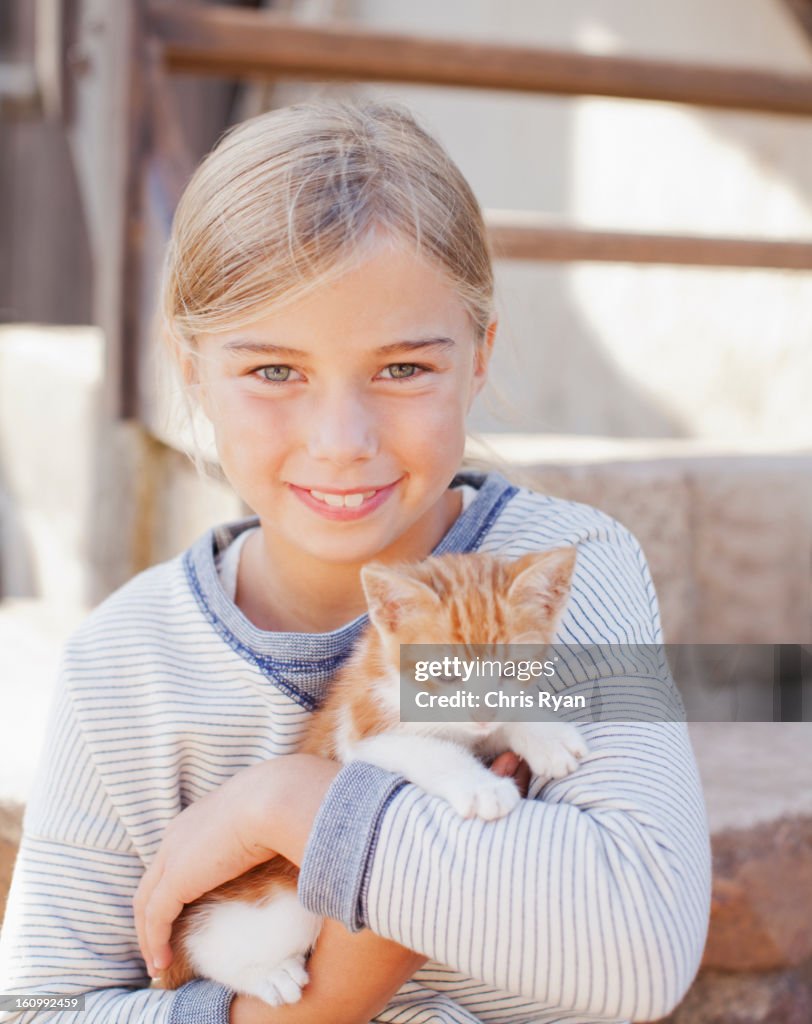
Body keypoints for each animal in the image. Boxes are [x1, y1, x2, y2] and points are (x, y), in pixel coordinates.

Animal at [158, 548, 585, 1003]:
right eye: (446, 674)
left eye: (513, 671)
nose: (481, 712)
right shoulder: (360, 733)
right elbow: (430, 750)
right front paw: (482, 787)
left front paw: (546, 736)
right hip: (279, 905)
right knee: (208, 946)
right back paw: (265, 975)